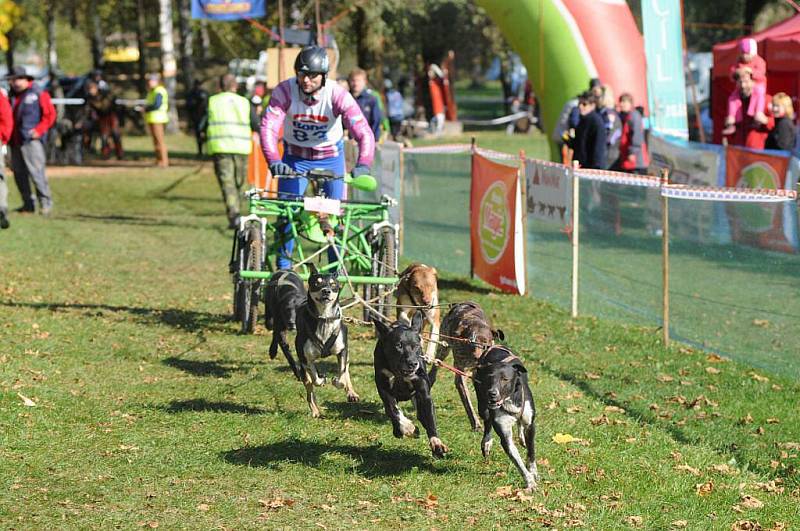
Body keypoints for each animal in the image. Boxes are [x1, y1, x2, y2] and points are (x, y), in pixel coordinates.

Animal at [296, 264, 358, 418]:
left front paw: (337, 382)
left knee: (346, 370)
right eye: (317, 283)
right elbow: (315, 377)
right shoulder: (305, 357)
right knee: (309, 389)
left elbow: (342, 374)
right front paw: (322, 379)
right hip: (303, 369)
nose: (326, 290)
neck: (324, 318)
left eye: (333, 284)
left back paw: (351, 393)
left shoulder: (342, 350)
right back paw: (315, 410)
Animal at [372, 314, 446, 460]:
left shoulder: (423, 391)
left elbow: (430, 417)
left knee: (422, 416)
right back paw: (399, 430)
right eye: (398, 345)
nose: (413, 363)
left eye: (417, 346)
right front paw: (408, 428)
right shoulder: (383, 387)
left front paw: (437, 443)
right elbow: (392, 409)